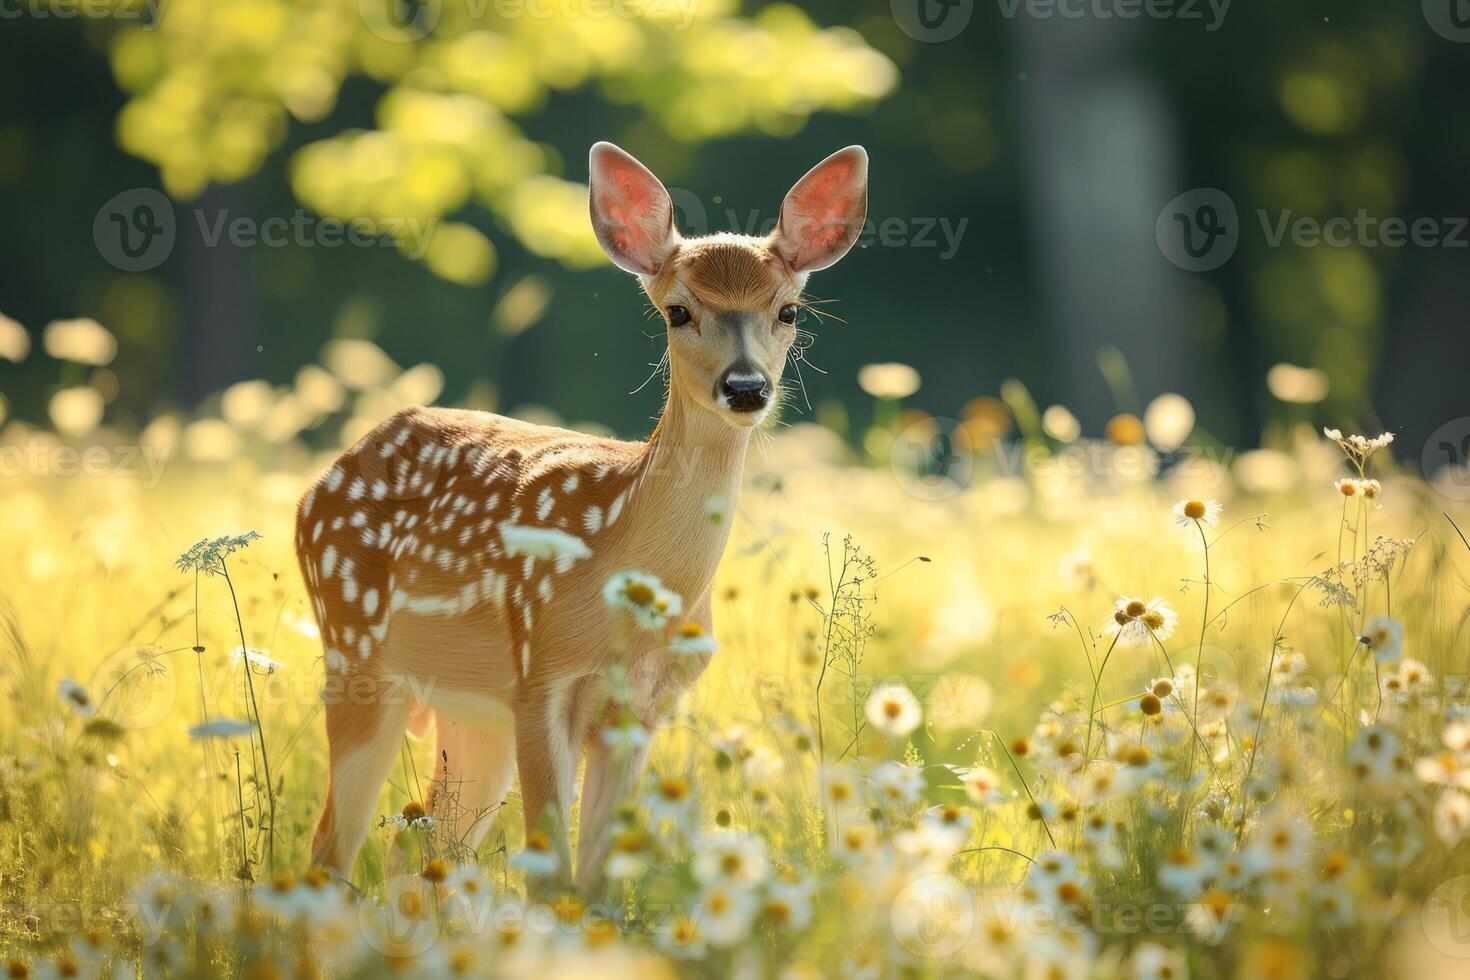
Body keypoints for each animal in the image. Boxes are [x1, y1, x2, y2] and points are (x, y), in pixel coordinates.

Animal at [299, 139, 864, 887]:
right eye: (678, 311)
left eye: (790, 310)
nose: (746, 387)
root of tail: (320, 482)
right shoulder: (540, 678)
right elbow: (553, 883)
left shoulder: (644, 709)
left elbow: (594, 886)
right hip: (357, 653)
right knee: (332, 848)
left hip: (468, 716)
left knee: (421, 849)